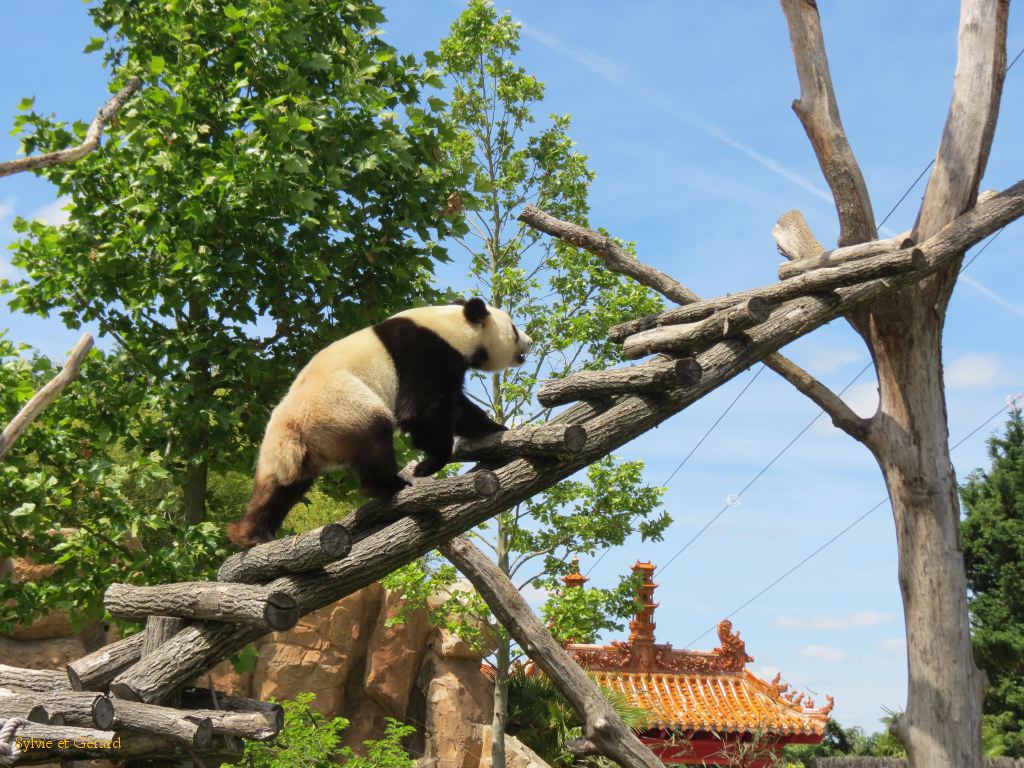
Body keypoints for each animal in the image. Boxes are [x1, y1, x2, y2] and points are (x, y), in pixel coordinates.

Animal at [226, 298, 533, 547]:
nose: (529, 342)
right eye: (514, 329)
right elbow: (421, 410)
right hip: (342, 407)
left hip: (284, 449)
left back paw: (252, 534)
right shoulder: (425, 354)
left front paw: (496, 428)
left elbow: (458, 409)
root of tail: (294, 429)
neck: (453, 326)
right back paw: (388, 484)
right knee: (374, 436)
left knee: (279, 488)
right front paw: (428, 464)